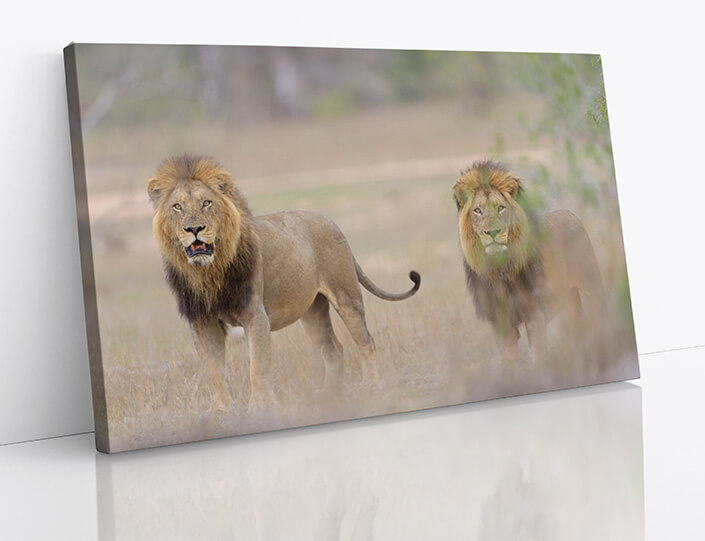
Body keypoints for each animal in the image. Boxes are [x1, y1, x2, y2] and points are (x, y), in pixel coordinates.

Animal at [147, 154, 420, 412]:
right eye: (177, 207)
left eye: (206, 203)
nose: (194, 229)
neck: (208, 272)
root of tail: (331, 221)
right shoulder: (202, 322)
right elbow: (212, 371)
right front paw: (220, 410)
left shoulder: (255, 315)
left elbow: (257, 366)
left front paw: (259, 407)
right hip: (313, 311)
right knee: (333, 349)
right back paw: (329, 395)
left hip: (346, 298)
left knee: (366, 341)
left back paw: (371, 386)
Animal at [452, 160, 604, 362]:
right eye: (478, 211)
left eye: (501, 208)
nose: (492, 232)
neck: (500, 269)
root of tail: (569, 213)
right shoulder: (501, 325)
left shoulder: (535, 315)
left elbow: (539, 357)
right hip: (569, 299)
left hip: (591, 284)